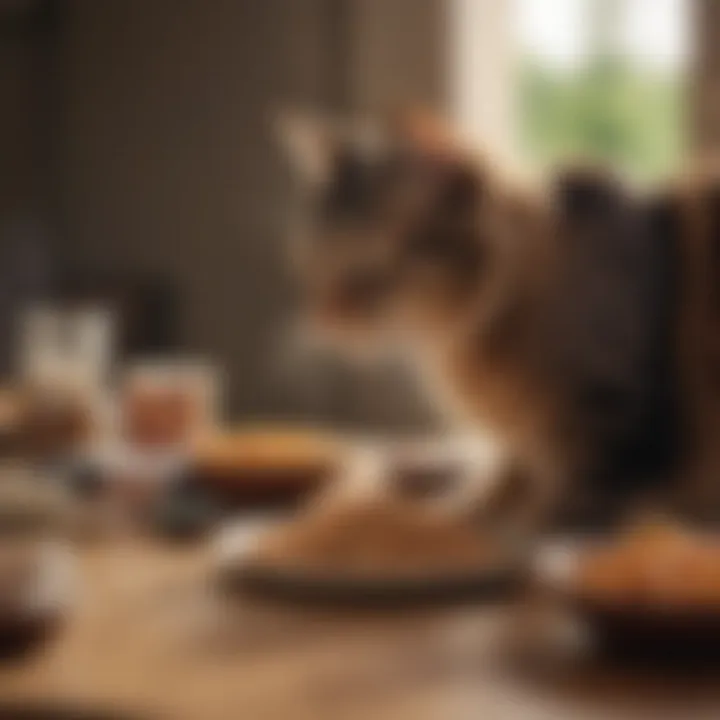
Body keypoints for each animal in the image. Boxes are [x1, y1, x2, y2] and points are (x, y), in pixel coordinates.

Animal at [276, 109, 680, 532]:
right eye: (313, 260)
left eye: (374, 273)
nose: (325, 317)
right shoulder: (519, 447)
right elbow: (499, 483)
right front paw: (466, 508)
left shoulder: (610, 419)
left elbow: (565, 506)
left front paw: (516, 524)